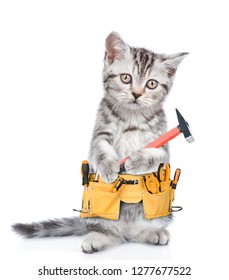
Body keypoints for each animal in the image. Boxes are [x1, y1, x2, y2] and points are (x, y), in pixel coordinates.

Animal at [12, 31, 188, 253]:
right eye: (126, 78)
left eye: (152, 84)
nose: (136, 94)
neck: (132, 118)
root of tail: (127, 232)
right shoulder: (100, 133)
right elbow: (101, 149)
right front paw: (109, 167)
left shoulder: (162, 144)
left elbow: (156, 155)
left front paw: (135, 160)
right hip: (97, 215)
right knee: (110, 233)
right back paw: (97, 238)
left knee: (139, 232)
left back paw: (154, 233)